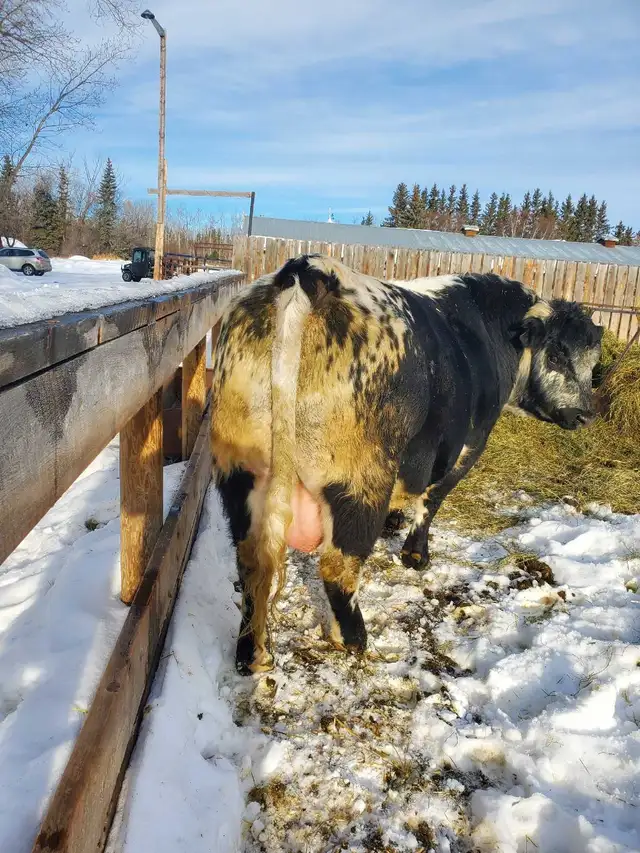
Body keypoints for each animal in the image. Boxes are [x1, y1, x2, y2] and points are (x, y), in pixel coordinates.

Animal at [211, 254, 603, 675]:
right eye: (558, 354)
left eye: (592, 363)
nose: (584, 415)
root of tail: (309, 270)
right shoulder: (468, 447)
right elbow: (431, 500)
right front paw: (416, 555)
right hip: (358, 479)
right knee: (337, 564)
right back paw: (353, 639)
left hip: (243, 473)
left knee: (252, 561)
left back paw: (253, 654)